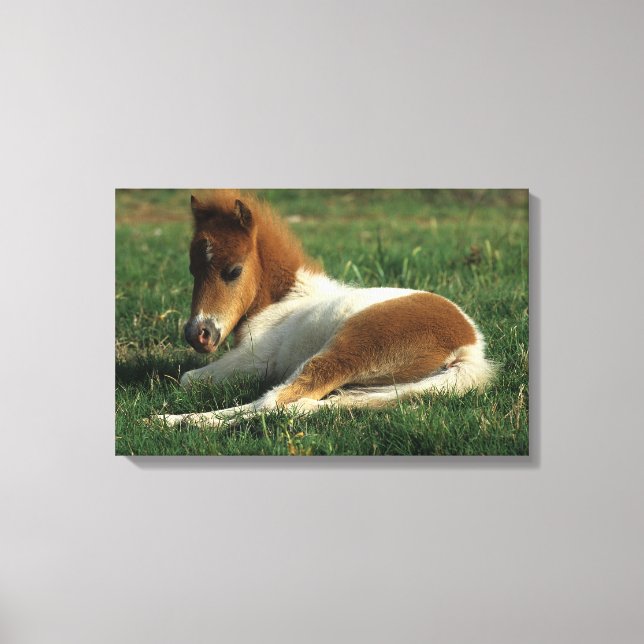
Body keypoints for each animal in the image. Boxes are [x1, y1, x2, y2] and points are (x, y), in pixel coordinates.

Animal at [158, 190, 496, 427]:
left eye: (233, 271)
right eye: (192, 270)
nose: (198, 334)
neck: (286, 299)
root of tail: (469, 347)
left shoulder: (254, 359)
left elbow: (189, 379)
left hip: (347, 352)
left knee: (275, 401)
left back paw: (172, 422)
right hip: (396, 387)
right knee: (310, 404)